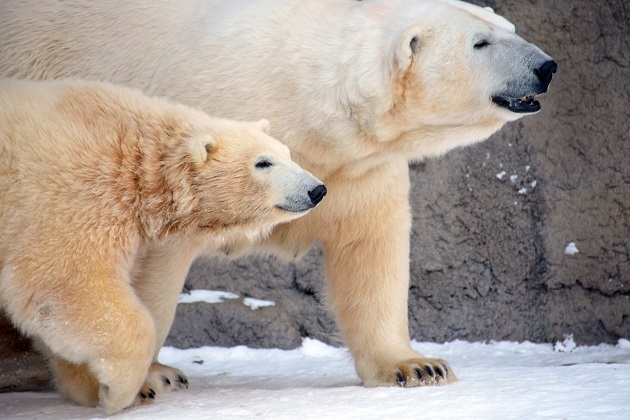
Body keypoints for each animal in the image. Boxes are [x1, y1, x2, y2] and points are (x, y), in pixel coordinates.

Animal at [0, 0, 556, 392]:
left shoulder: (358, 170)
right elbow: (143, 262)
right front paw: (151, 376)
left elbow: (371, 249)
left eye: (505, 27)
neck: (302, 99)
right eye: (481, 42)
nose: (547, 66)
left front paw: (416, 366)